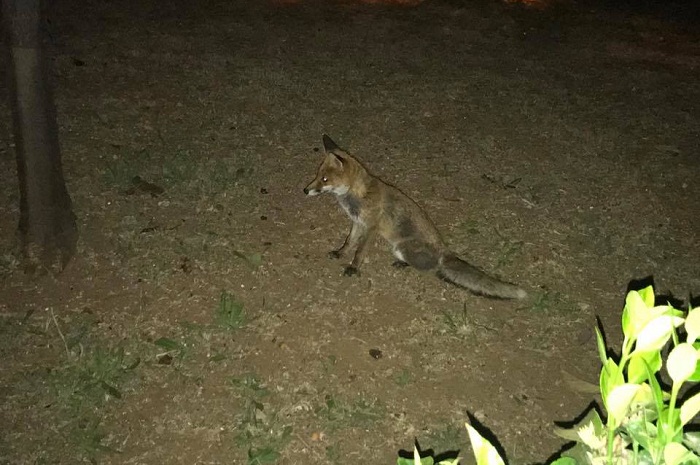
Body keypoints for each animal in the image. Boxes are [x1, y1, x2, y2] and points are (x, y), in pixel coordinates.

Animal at [303, 135, 527, 300]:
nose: (305, 190)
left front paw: (353, 268)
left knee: (433, 270)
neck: (356, 196)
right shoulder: (357, 222)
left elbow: (359, 251)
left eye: (325, 179)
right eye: (317, 175)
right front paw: (340, 253)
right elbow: (349, 243)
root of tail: (444, 251)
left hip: (402, 247)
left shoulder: (371, 227)